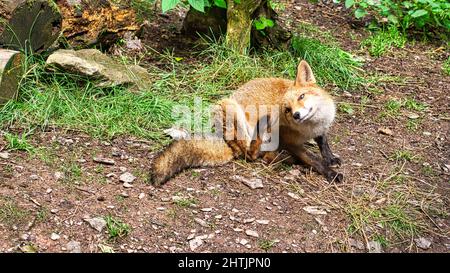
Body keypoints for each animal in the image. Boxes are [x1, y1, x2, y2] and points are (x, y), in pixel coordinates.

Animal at [149, 60, 342, 184]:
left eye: (302, 97)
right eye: (287, 109)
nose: (296, 115)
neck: (311, 127)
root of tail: (225, 142)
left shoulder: (321, 128)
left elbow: (323, 143)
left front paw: (330, 158)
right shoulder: (289, 141)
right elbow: (313, 159)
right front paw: (330, 172)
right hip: (229, 108)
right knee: (250, 154)